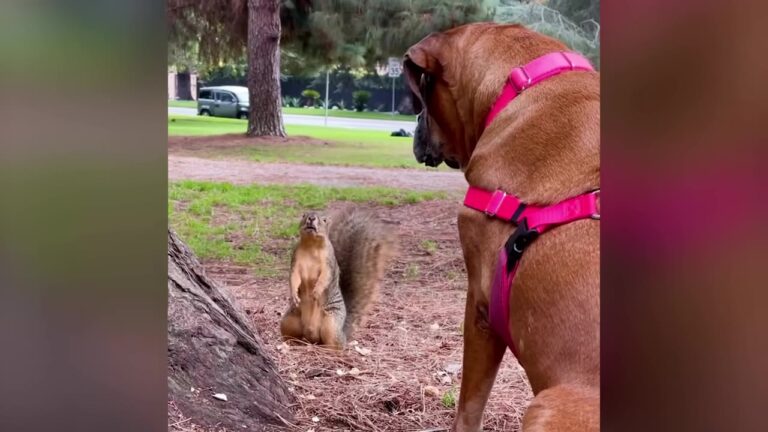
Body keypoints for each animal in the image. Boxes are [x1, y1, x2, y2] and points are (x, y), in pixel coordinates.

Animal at [279, 207, 397, 349]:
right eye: (303, 215)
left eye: (324, 220)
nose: (311, 218)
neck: (311, 245)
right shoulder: (295, 261)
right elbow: (294, 277)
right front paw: (294, 294)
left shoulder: (329, 263)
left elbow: (325, 277)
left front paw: (316, 292)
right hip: (289, 320)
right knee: (293, 335)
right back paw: (290, 343)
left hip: (331, 323)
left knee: (336, 344)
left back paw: (329, 349)